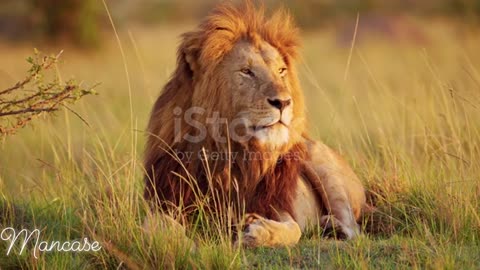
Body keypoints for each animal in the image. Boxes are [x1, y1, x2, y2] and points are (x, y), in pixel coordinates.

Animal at [144, 1, 366, 248]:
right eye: (246, 71)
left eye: (281, 70)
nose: (284, 102)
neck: (232, 155)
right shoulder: (165, 200)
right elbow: (156, 227)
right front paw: (184, 245)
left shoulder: (276, 205)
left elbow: (294, 229)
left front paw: (256, 232)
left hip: (319, 159)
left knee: (354, 229)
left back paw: (331, 227)